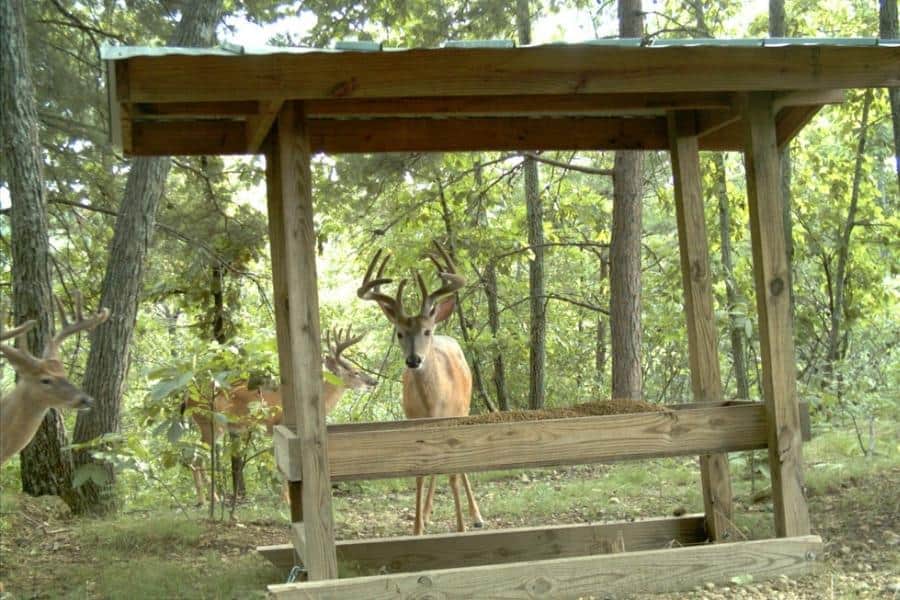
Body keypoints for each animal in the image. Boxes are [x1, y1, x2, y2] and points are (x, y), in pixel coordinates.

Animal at [184, 326, 376, 504]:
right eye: (355, 372)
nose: (373, 381)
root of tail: (187, 399)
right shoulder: (282, 424)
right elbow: (285, 464)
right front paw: (287, 500)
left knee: (195, 458)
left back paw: (207, 499)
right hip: (211, 423)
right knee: (197, 459)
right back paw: (210, 499)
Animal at [358, 240, 486, 536]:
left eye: (426, 331)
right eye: (399, 333)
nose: (414, 360)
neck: (432, 403)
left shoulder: (452, 419)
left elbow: (453, 472)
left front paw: (461, 527)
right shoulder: (413, 423)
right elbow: (419, 473)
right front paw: (417, 528)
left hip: (465, 409)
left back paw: (476, 515)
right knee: (433, 469)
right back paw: (427, 513)